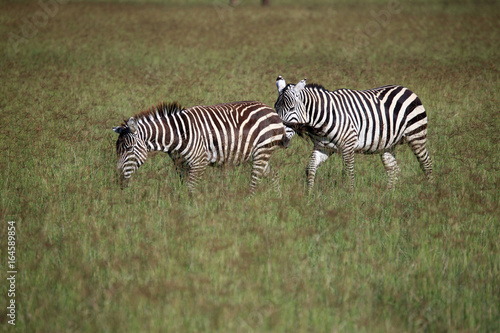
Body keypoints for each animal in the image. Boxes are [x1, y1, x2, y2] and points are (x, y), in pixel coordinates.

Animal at [112, 101, 288, 195]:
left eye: (128, 148)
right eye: (117, 150)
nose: (119, 180)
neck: (178, 135)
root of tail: (271, 110)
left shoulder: (199, 162)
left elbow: (191, 188)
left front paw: (193, 210)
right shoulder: (181, 165)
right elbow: (184, 188)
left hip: (262, 151)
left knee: (254, 181)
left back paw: (249, 203)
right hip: (258, 154)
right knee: (274, 175)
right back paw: (277, 199)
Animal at [274, 75, 434, 189]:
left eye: (291, 108)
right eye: (276, 108)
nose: (281, 140)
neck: (321, 120)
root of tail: (406, 88)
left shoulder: (348, 145)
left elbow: (348, 172)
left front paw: (349, 197)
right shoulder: (322, 147)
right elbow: (310, 168)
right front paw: (309, 195)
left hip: (416, 135)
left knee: (426, 162)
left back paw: (429, 190)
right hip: (388, 144)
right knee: (393, 169)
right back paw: (390, 195)